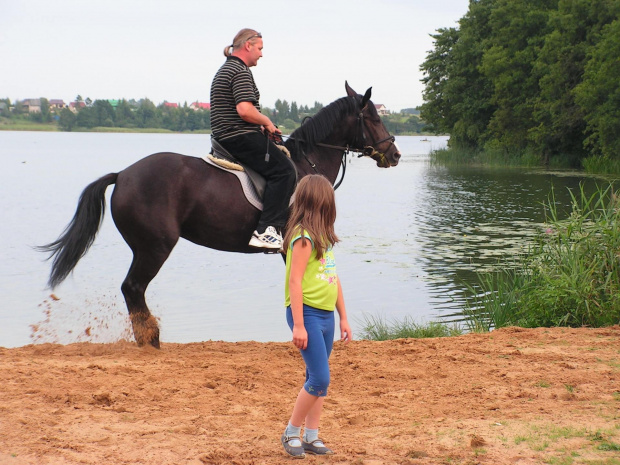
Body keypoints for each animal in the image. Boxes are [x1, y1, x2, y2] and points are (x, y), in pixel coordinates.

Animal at [38, 81, 400, 346]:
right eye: (374, 118)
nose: (394, 154)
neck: (306, 164)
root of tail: (123, 174)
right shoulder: (295, 244)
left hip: (146, 247)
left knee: (133, 291)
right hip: (155, 246)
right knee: (133, 288)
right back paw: (150, 338)